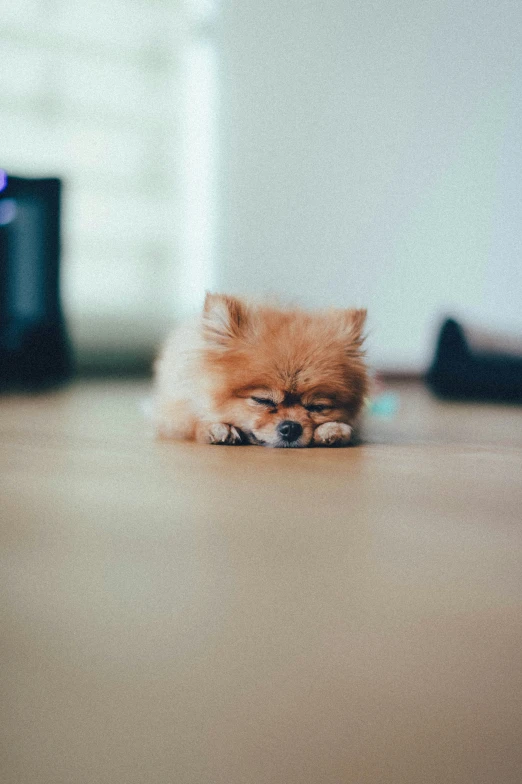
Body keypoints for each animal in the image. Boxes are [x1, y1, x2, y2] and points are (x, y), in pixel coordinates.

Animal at [152, 294, 368, 450]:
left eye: (317, 407)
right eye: (262, 400)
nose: (291, 427)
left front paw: (333, 429)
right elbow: (193, 421)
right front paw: (217, 427)